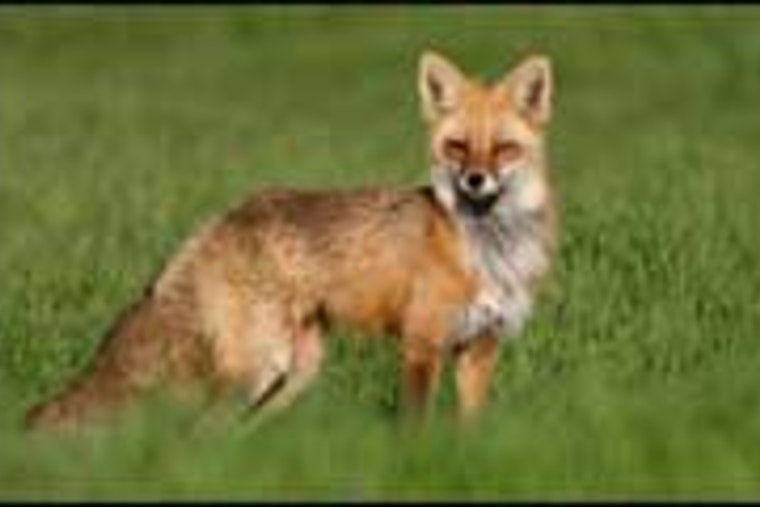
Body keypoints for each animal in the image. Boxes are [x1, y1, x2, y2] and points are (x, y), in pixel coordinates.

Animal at [25, 50, 557, 430]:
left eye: (504, 149)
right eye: (457, 146)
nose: (474, 181)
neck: (489, 251)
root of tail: (224, 216)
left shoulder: (481, 349)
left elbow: (469, 432)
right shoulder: (422, 343)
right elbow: (416, 429)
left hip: (295, 374)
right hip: (259, 367)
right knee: (202, 431)